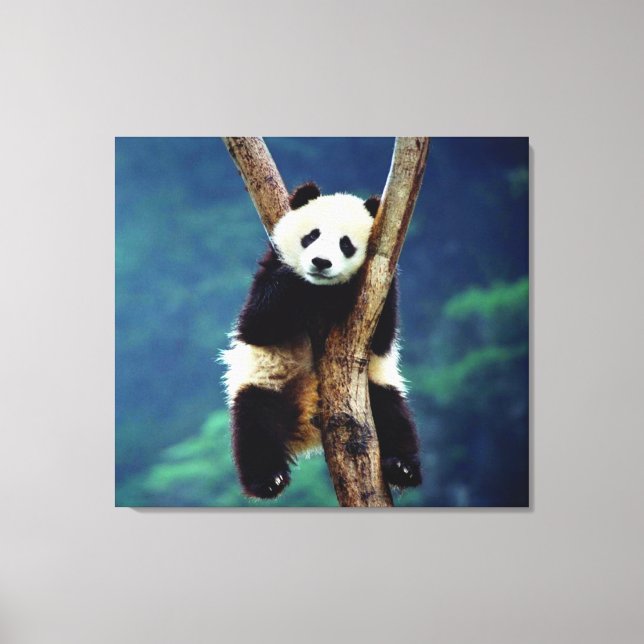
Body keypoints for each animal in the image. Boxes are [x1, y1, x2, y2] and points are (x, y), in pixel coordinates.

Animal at [221, 182, 421, 499]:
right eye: (312, 235)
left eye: (346, 244)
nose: (320, 262)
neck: (320, 290)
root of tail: (307, 426)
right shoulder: (269, 268)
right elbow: (256, 324)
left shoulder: (379, 287)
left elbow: (382, 337)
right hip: (266, 382)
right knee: (254, 426)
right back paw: (269, 480)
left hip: (375, 389)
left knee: (393, 416)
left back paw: (402, 467)